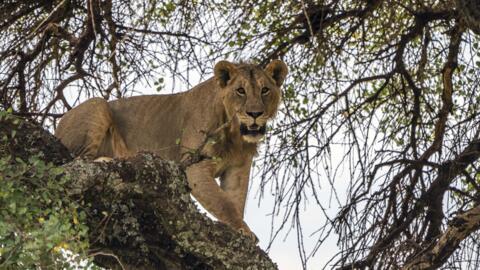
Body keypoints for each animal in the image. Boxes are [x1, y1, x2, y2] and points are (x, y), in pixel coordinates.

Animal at [56, 59, 288, 240]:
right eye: (240, 90)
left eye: (265, 90)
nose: (255, 114)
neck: (235, 135)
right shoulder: (195, 166)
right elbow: (224, 204)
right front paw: (243, 231)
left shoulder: (238, 169)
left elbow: (235, 202)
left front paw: (241, 231)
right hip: (98, 105)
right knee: (79, 160)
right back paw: (108, 160)